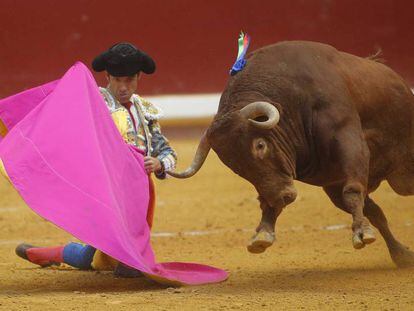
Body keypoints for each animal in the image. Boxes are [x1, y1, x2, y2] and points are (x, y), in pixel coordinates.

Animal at [168, 41, 414, 270]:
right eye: (235, 167)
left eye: (260, 145)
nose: (282, 197)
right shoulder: (331, 182)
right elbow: (364, 205)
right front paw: (263, 234)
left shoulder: (349, 137)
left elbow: (353, 189)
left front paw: (362, 232)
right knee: (376, 211)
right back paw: (402, 255)